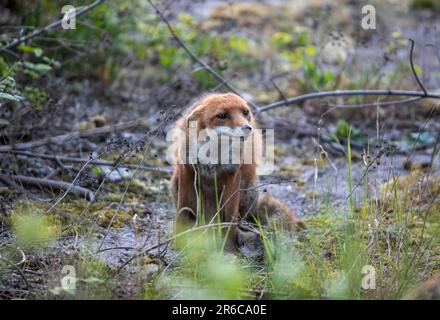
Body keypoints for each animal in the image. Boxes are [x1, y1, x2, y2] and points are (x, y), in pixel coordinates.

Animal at [170, 92, 298, 248]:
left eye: (245, 112)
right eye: (222, 115)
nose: (248, 128)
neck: (213, 155)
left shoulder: (232, 173)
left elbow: (230, 218)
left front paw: (230, 247)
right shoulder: (187, 170)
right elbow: (182, 210)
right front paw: (178, 240)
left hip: (248, 191)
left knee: (239, 220)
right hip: (176, 185)